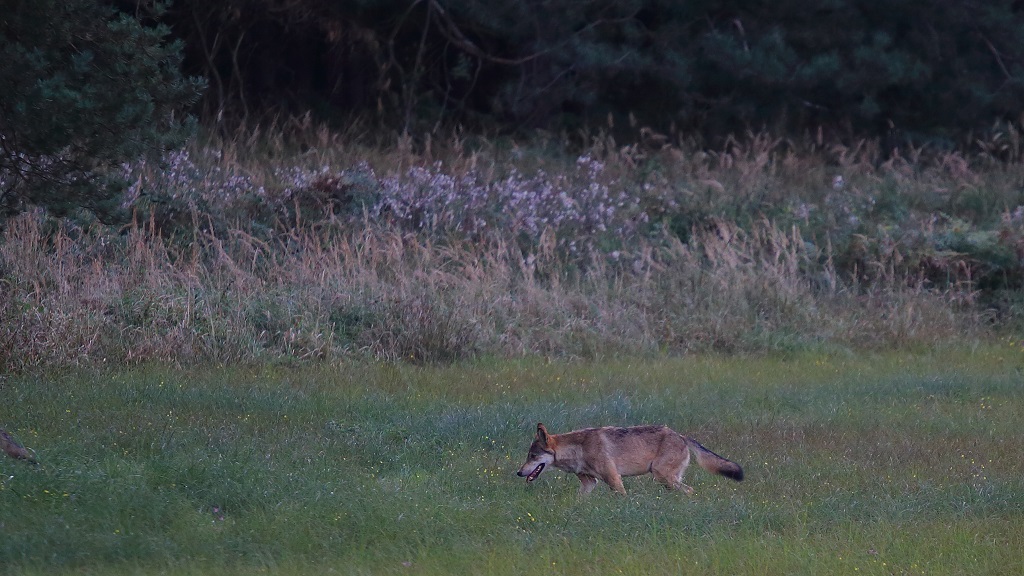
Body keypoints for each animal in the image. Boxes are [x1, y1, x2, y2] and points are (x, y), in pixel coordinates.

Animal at [516, 423, 743, 495]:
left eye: (533, 456)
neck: (577, 450)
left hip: (661, 476)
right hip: (667, 480)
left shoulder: (614, 480)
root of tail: (681, 436)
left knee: (689, 491)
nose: (518, 472)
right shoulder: (589, 483)